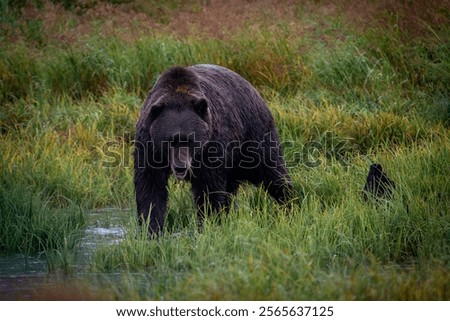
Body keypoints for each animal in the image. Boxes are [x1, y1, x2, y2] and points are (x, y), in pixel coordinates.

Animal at [134, 65, 292, 235]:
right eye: (170, 141)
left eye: (190, 140)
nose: (180, 166)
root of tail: (251, 87)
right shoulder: (148, 147)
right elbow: (150, 187)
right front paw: (151, 228)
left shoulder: (211, 148)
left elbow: (208, 190)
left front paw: (208, 223)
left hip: (253, 137)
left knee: (272, 173)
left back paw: (290, 204)